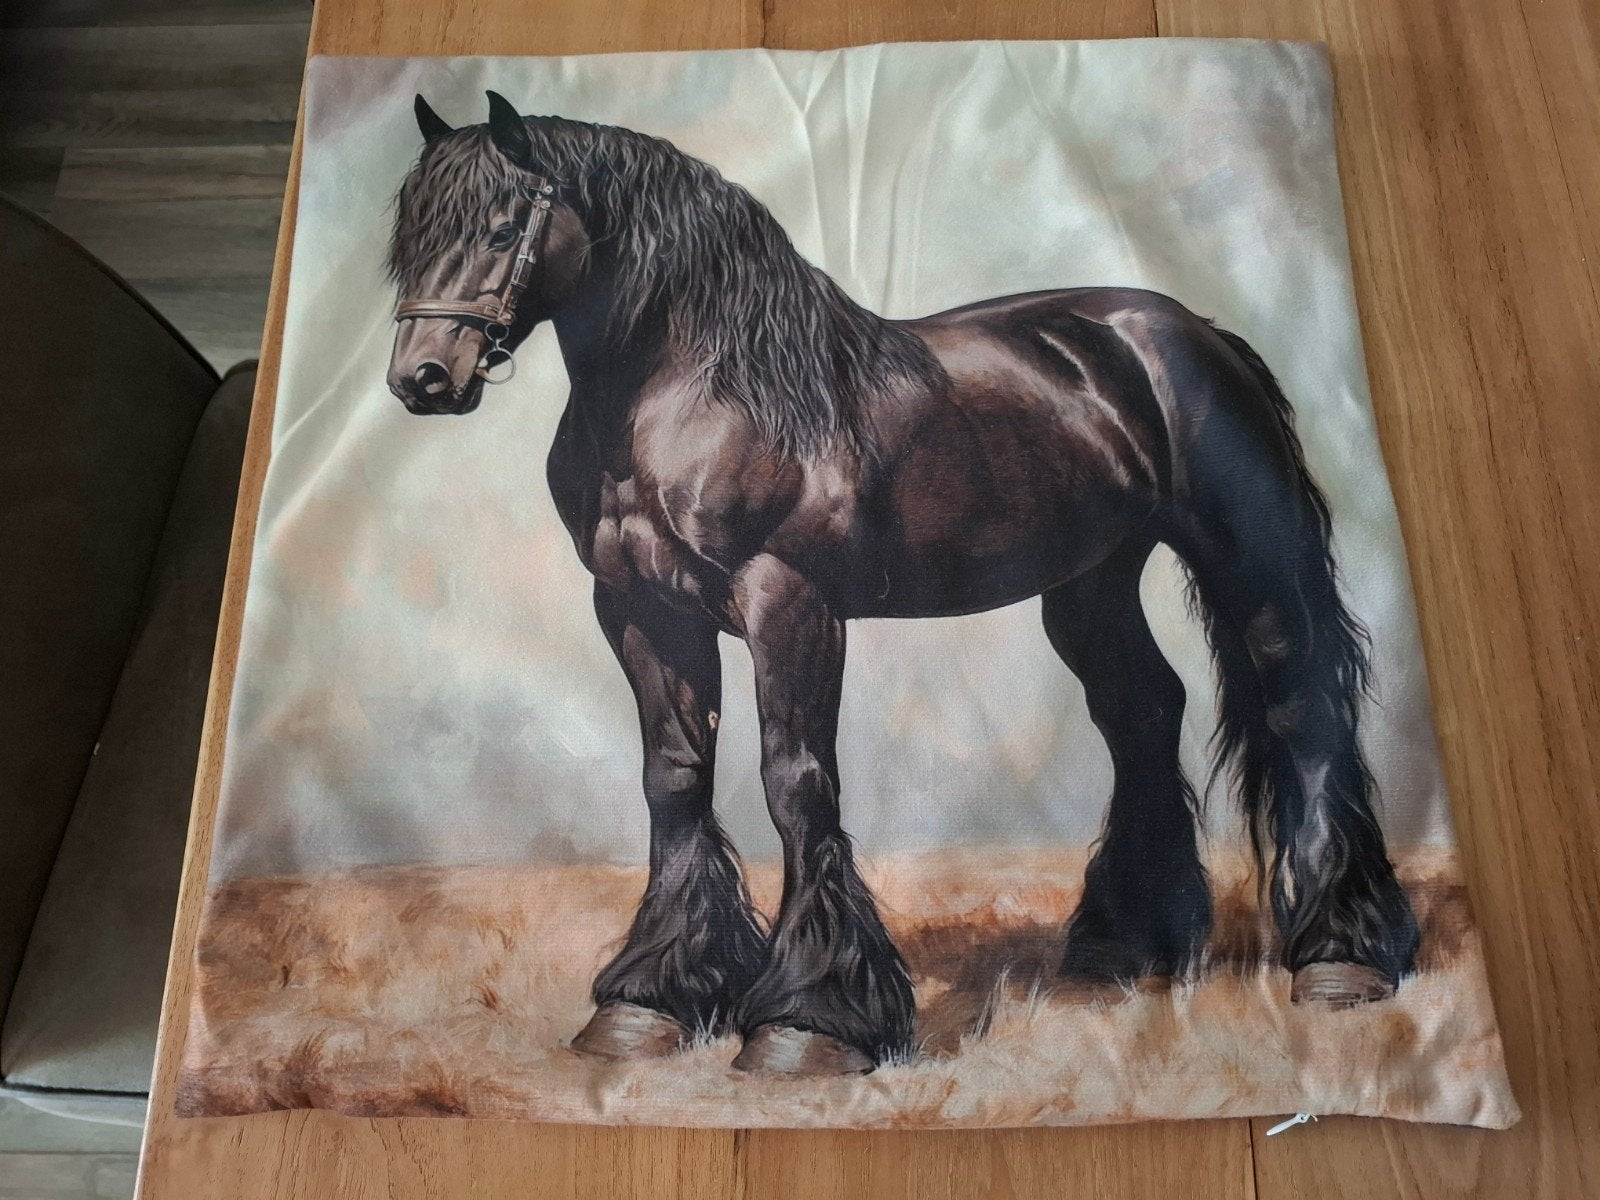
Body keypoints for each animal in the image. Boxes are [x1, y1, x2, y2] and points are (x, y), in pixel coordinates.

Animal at [384, 91, 1420, 1077]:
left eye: (504, 226)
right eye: (413, 235)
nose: (423, 377)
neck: (696, 392)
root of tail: (1194, 332)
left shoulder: (787, 601)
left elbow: (797, 783)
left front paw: (808, 1022)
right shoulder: (640, 612)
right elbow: (673, 779)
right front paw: (648, 1001)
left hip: (1249, 556)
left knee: (1298, 706)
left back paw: (1341, 956)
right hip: (1089, 581)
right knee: (1142, 710)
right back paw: (1125, 946)